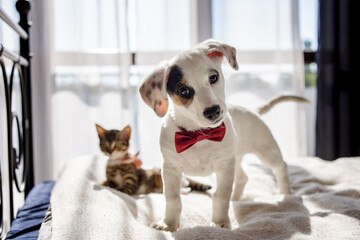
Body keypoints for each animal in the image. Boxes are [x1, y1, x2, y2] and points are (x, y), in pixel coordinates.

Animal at [139, 40, 308, 232]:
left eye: (213, 78)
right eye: (184, 91)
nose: (214, 111)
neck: (199, 135)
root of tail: (253, 110)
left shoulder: (224, 167)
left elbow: (220, 196)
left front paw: (220, 223)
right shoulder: (170, 169)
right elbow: (173, 199)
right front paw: (169, 223)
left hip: (266, 151)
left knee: (281, 167)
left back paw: (286, 194)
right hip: (236, 158)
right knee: (243, 177)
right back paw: (237, 198)